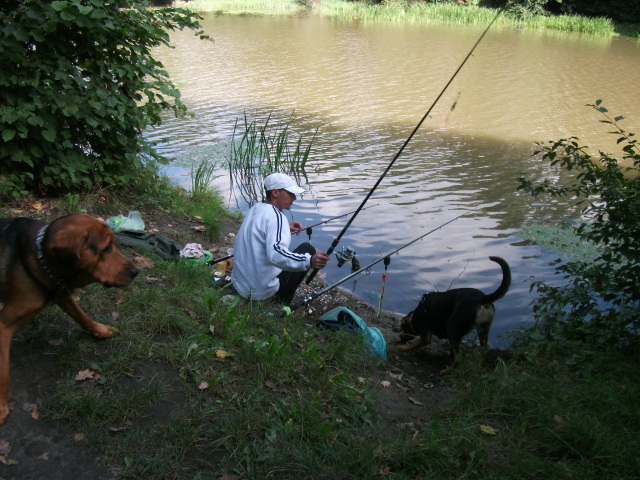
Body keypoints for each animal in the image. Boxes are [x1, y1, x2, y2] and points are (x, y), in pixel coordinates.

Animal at [0, 214, 139, 424]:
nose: (136, 272)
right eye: (106, 248)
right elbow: (4, 375)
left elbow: (82, 315)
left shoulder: (62, 293)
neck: (40, 260)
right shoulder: (3, 326)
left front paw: (100, 330)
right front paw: (1, 407)